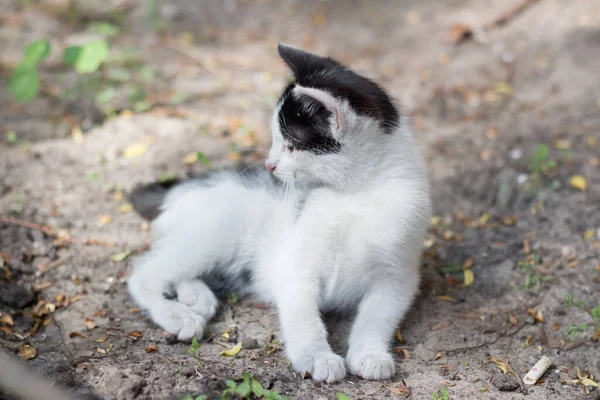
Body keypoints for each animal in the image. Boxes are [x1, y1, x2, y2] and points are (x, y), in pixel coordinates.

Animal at [129, 43, 434, 382]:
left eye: (290, 145)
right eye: (277, 141)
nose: (269, 165)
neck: (354, 196)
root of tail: (182, 188)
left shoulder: (398, 274)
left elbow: (376, 316)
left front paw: (370, 354)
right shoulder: (295, 266)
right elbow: (302, 315)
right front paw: (317, 357)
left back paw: (198, 297)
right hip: (216, 233)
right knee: (145, 272)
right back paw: (177, 315)